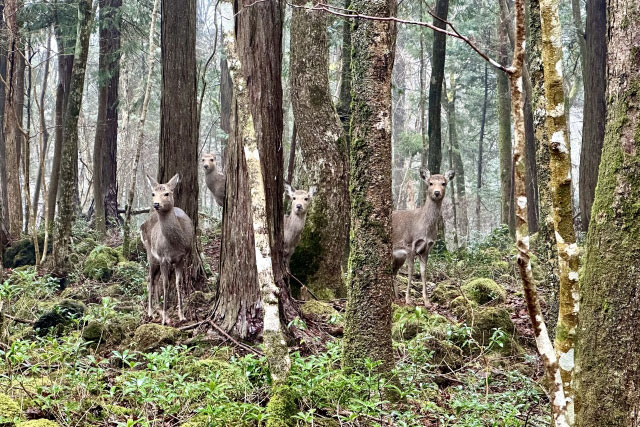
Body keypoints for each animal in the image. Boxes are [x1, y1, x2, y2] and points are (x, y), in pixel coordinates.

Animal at [138, 173, 192, 324]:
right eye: (153, 193)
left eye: (167, 193)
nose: (156, 204)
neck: (175, 244)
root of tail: (142, 224)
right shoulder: (163, 258)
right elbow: (166, 284)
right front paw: (165, 319)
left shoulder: (182, 258)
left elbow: (179, 283)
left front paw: (182, 315)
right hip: (150, 252)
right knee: (150, 278)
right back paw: (151, 312)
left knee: (154, 279)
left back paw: (158, 308)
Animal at [390, 167, 456, 304]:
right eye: (430, 183)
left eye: (444, 183)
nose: (437, 192)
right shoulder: (409, 245)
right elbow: (410, 272)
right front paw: (408, 299)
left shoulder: (427, 248)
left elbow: (423, 272)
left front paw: (426, 301)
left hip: (399, 256)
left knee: (393, 272)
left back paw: (396, 297)